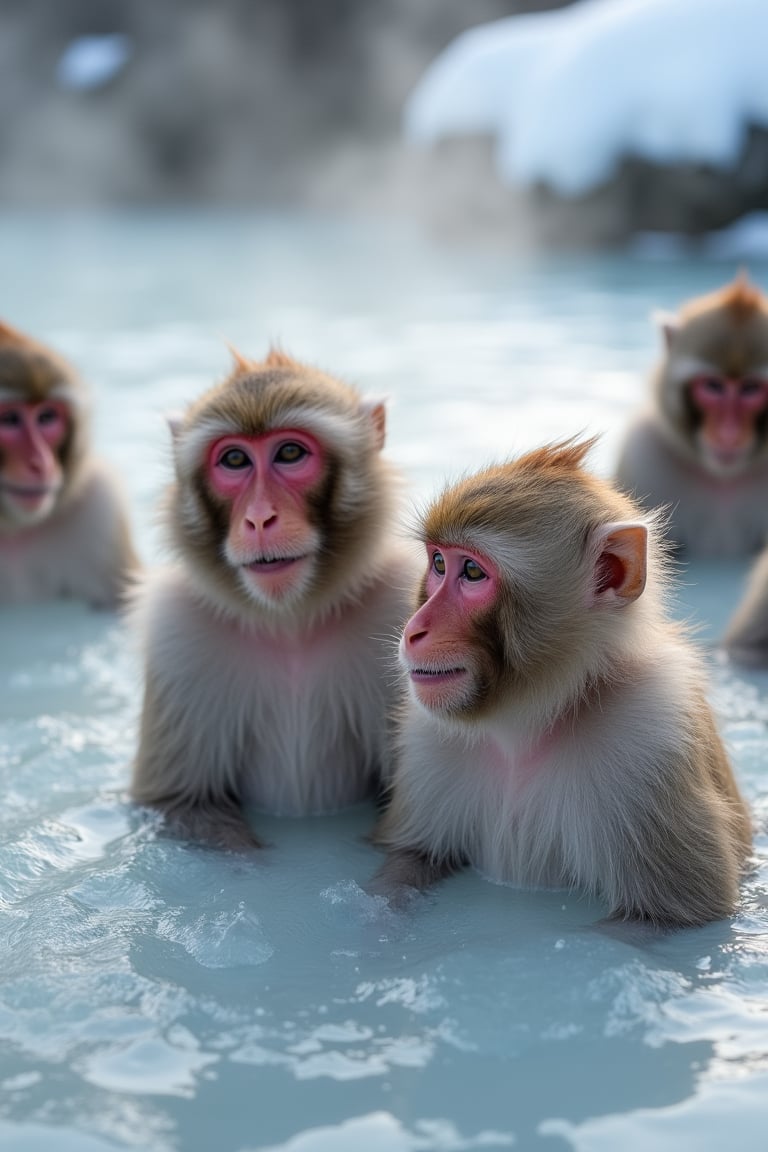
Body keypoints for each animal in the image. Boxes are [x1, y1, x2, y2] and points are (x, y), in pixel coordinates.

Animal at [130, 340, 416, 847]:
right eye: (235, 461)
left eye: (289, 452)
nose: (260, 518)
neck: (289, 623)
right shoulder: (174, 632)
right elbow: (181, 803)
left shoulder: (403, 604)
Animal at [375, 433, 755, 926]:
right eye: (438, 563)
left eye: (473, 571)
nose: (414, 630)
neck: (530, 718)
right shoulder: (427, 734)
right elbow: (411, 859)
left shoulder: (655, 730)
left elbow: (661, 920)